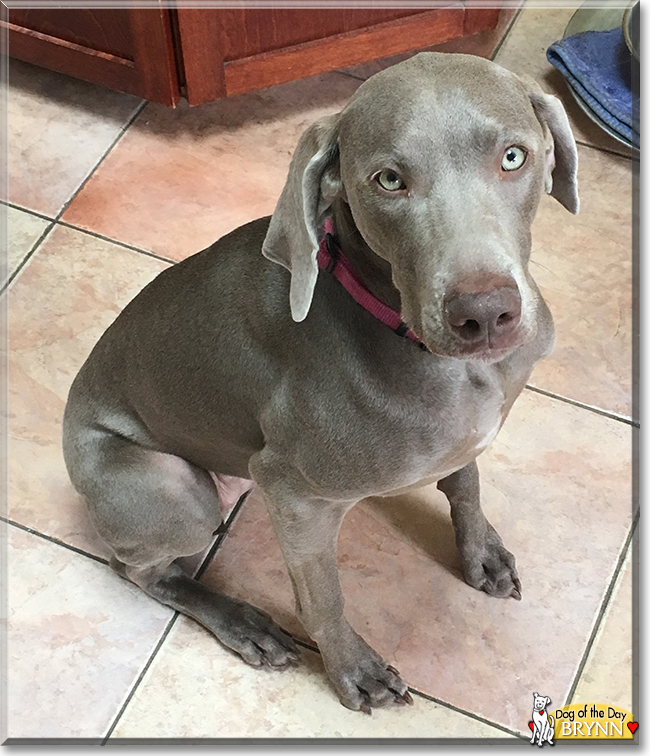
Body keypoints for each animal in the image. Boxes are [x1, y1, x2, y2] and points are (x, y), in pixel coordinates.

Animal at [62, 54, 576, 716]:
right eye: (388, 180)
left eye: (513, 156)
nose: (485, 314)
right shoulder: (293, 494)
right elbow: (322, 596)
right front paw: (352, 667)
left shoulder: (465, 435)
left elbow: (465, 481)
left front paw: (481, 552)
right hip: (173, 489)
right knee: (143, 572)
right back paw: (243, 624)